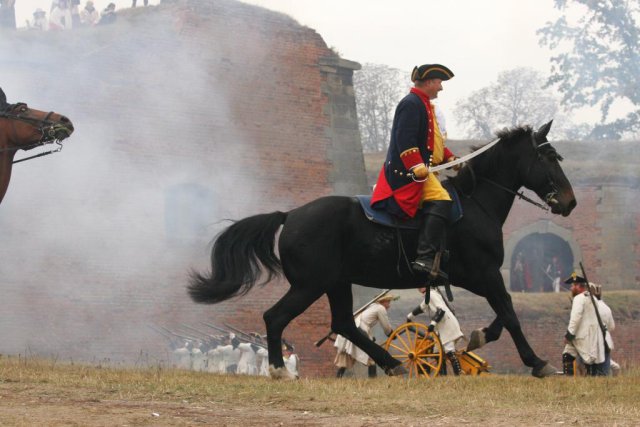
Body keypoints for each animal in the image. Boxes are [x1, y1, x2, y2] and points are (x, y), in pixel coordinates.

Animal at [189, 120, 576, 378]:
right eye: (549, 157)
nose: (570, 202)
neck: (475, 202)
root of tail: (290, 215)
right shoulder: (484, 274)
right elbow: (509, 312)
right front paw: (537, 362)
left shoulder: (480, 278)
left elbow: (504, 312)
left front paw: (482, 337)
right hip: (310, 285)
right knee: (276, 317)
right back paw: (280, 370)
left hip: (336, 283)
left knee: (344, 323)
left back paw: (392, 365)